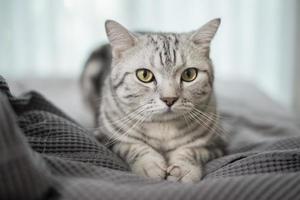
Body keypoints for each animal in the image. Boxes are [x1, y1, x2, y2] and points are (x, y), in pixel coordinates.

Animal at [79, 18, 225, 183]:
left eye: (189, 74)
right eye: (144, 75)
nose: (169, 99)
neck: (163, 129)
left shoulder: (217, 144)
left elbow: (192, 150)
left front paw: (183, 170)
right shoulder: (105, 138)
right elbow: (132, 146)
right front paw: (149, 165)